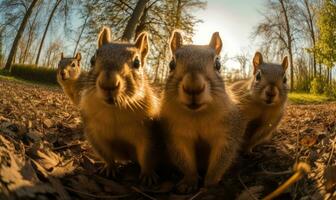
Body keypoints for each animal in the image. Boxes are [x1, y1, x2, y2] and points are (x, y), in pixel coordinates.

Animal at [79, 26, 159, 186]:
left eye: (137, 63)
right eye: (92, 60)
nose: (108, 84)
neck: (114, 110)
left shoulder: (149, 133)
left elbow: (147, 156)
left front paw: (148, 175)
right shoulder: (95, 133)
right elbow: (106, 154)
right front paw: (110, 168)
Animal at [160, 30, 244, 193]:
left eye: (218, 64)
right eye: (171, 64)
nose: (193, 87)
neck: (197, 115)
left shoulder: (226, 133)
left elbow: (221, 159)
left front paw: (210, 183)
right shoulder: (176, 134)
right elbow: (185, 160)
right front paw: (189, 182)